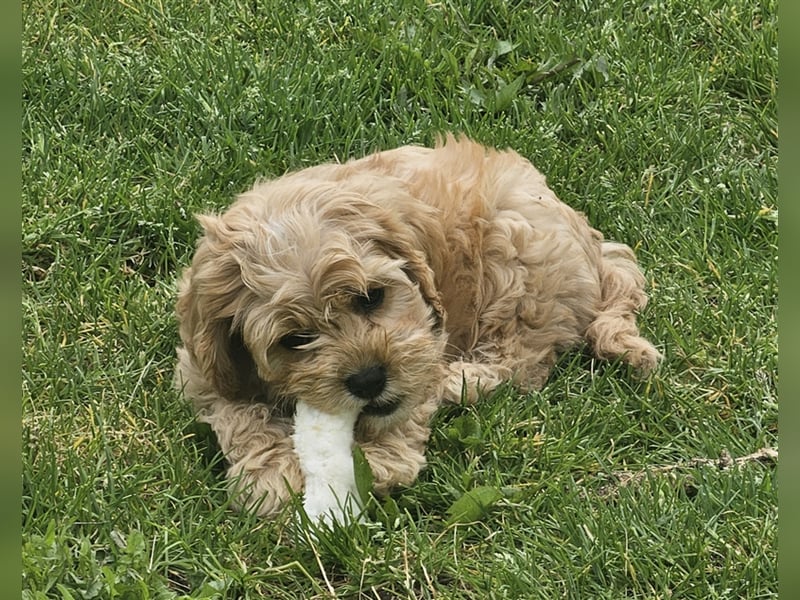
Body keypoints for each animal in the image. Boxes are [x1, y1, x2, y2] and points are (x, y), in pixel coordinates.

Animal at [172, 135, 660, 516]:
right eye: (296, 339)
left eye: (371, 297)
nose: (369, 379)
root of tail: (594, 246)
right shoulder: (203, 365)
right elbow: (236, 411)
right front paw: (270, 473)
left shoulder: (423, 342)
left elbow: (400, 425)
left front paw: (373, 463)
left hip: (518, 251)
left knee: (521, 361)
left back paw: (462, 379)